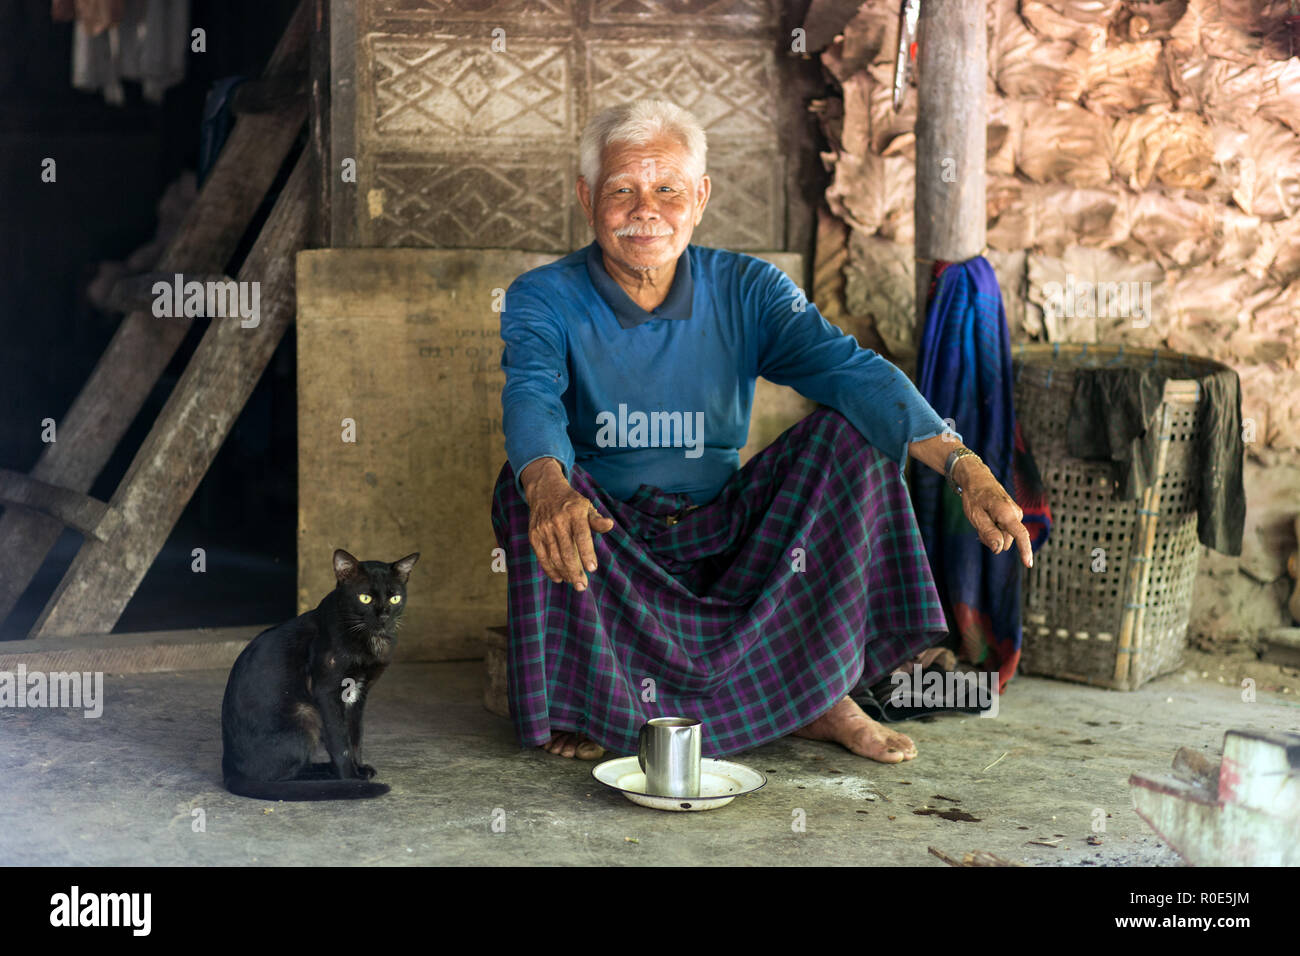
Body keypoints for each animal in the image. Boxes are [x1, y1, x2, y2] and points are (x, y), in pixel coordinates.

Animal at [220, 546, 418, 801]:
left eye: (395, 598)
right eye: (365, 598)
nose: (383, 616)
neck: (369, 643)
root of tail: (229, 768)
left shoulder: (360, 694)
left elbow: (356, 736)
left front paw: (359, 769)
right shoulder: (327, 691)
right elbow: (340, 742)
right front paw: (351, 779)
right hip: (307, 715)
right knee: (279, 778)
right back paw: (327, 777)